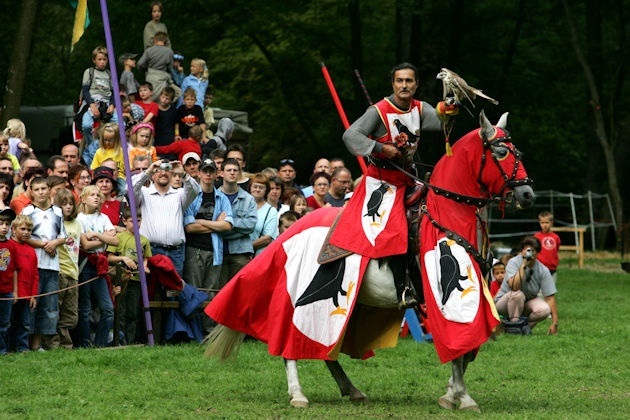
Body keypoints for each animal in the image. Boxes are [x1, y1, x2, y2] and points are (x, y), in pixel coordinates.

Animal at [205, 110, 536, 412]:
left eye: (519, 152)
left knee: (328, 351)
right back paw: (298, 394)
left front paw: (451, 393)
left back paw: (351, 389)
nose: (528, 193)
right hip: (298, 301)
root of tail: (292, 229)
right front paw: (462, 397)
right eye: (501, 152)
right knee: (289, 346)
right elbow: (459, 348)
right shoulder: (442, 297)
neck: (447, 215)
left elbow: (469, 349)